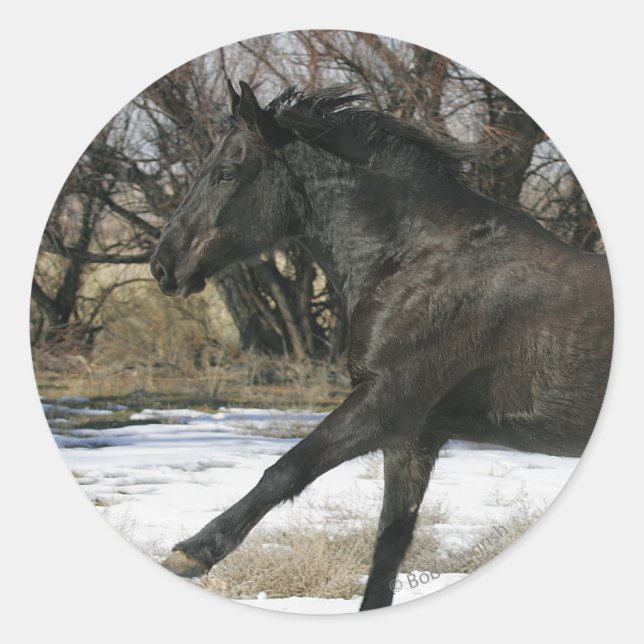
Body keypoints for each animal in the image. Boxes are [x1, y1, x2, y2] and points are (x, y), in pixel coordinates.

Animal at [150, 80, 613, 610]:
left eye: (226, 173)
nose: (163, 266)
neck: (414, 262)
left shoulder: (387, 404)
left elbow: (287, 470)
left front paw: (190, 553)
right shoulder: (414, 439)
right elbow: (388, 549)